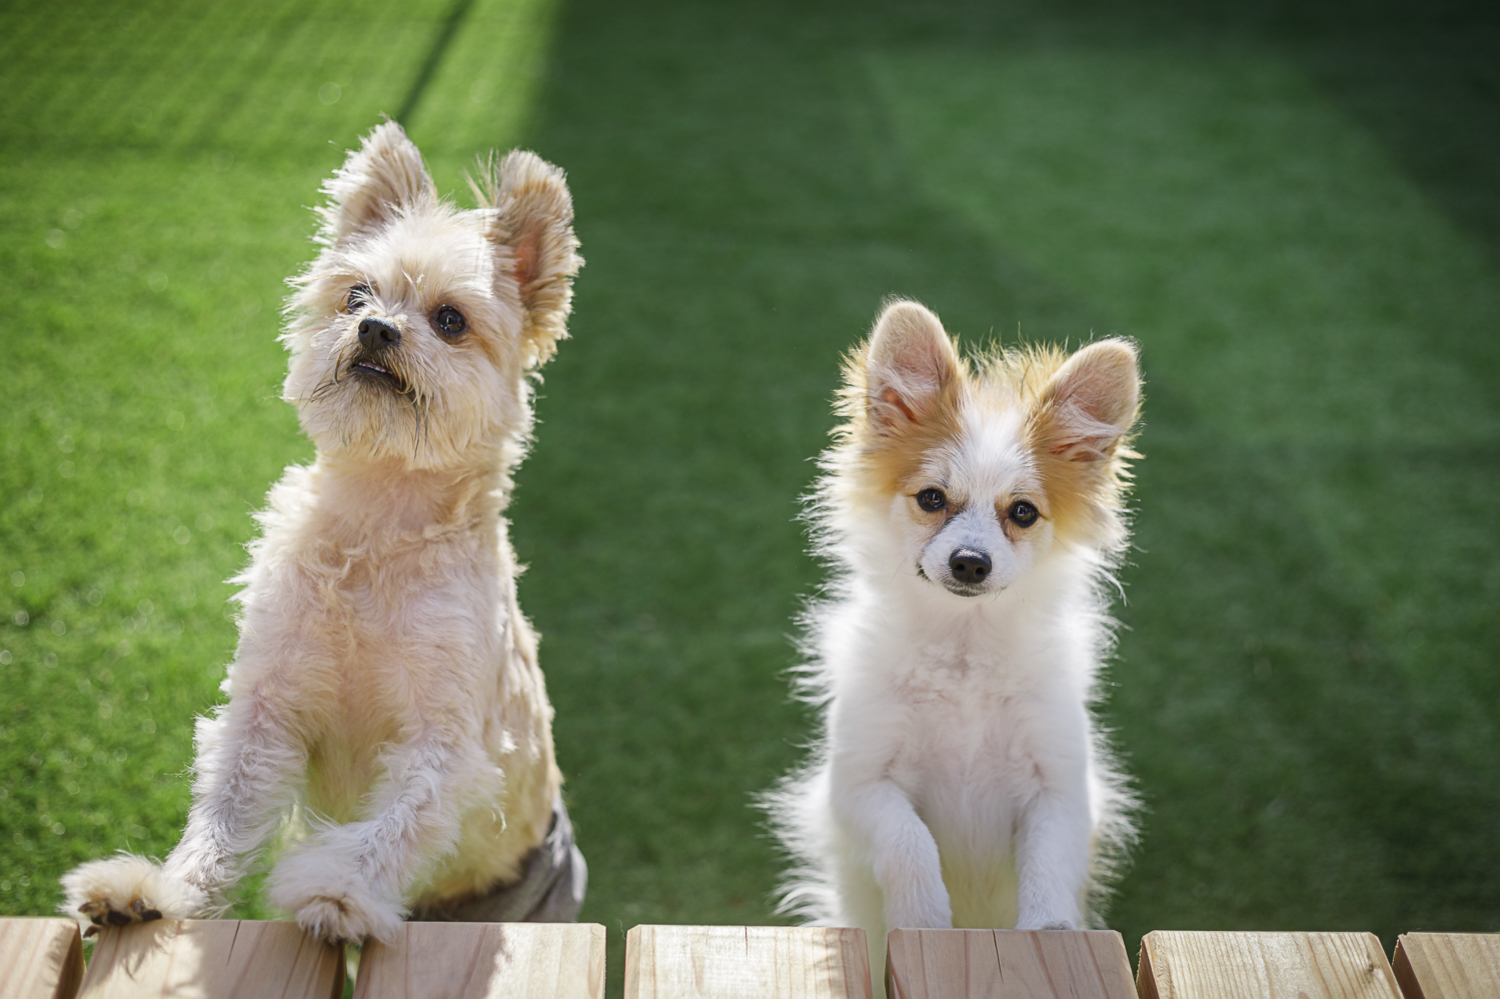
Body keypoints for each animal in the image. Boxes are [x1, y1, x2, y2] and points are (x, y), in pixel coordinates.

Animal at [66, 122, 591, 942]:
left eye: (450, 319)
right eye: (355, 295)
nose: (374, 327)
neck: (376, 530)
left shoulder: (442, 747)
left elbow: (394, 827)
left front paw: (339, 892)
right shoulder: (267, 713)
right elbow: (220, 823)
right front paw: (161, 889)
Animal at [774, 297, 1134, 978]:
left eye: (1022, 512)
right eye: (932, 498)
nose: (970, 561)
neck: (964, 659)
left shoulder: (1061, 793)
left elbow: (1047, 869)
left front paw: (1049, 933)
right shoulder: (861, 787)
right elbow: (909, 842)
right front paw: (924, 919)